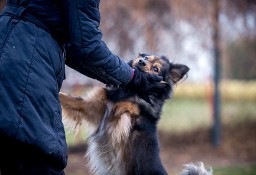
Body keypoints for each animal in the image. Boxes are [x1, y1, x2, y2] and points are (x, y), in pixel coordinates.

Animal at [60, 53, 212, 175]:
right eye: (146, 57)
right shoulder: (94, 107)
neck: (132, 91)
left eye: (156, 69)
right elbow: (71, 100)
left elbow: (123, 110)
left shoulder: (124, 117)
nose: (141, 61)